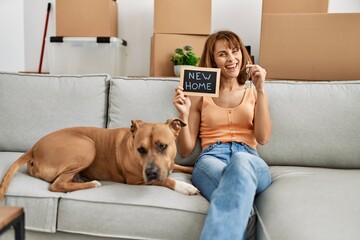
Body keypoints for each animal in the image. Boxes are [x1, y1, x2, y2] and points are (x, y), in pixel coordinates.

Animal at [0, 118, 200, 201]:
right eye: (140, 150)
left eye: (163, 146)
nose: (150, 172)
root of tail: (33, 149)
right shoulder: (136, 180)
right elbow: (165, 180)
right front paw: (185, 186)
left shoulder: (171, 164)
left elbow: (181, 167)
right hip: (87, 146)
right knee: (57, 185)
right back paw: (92, 183)